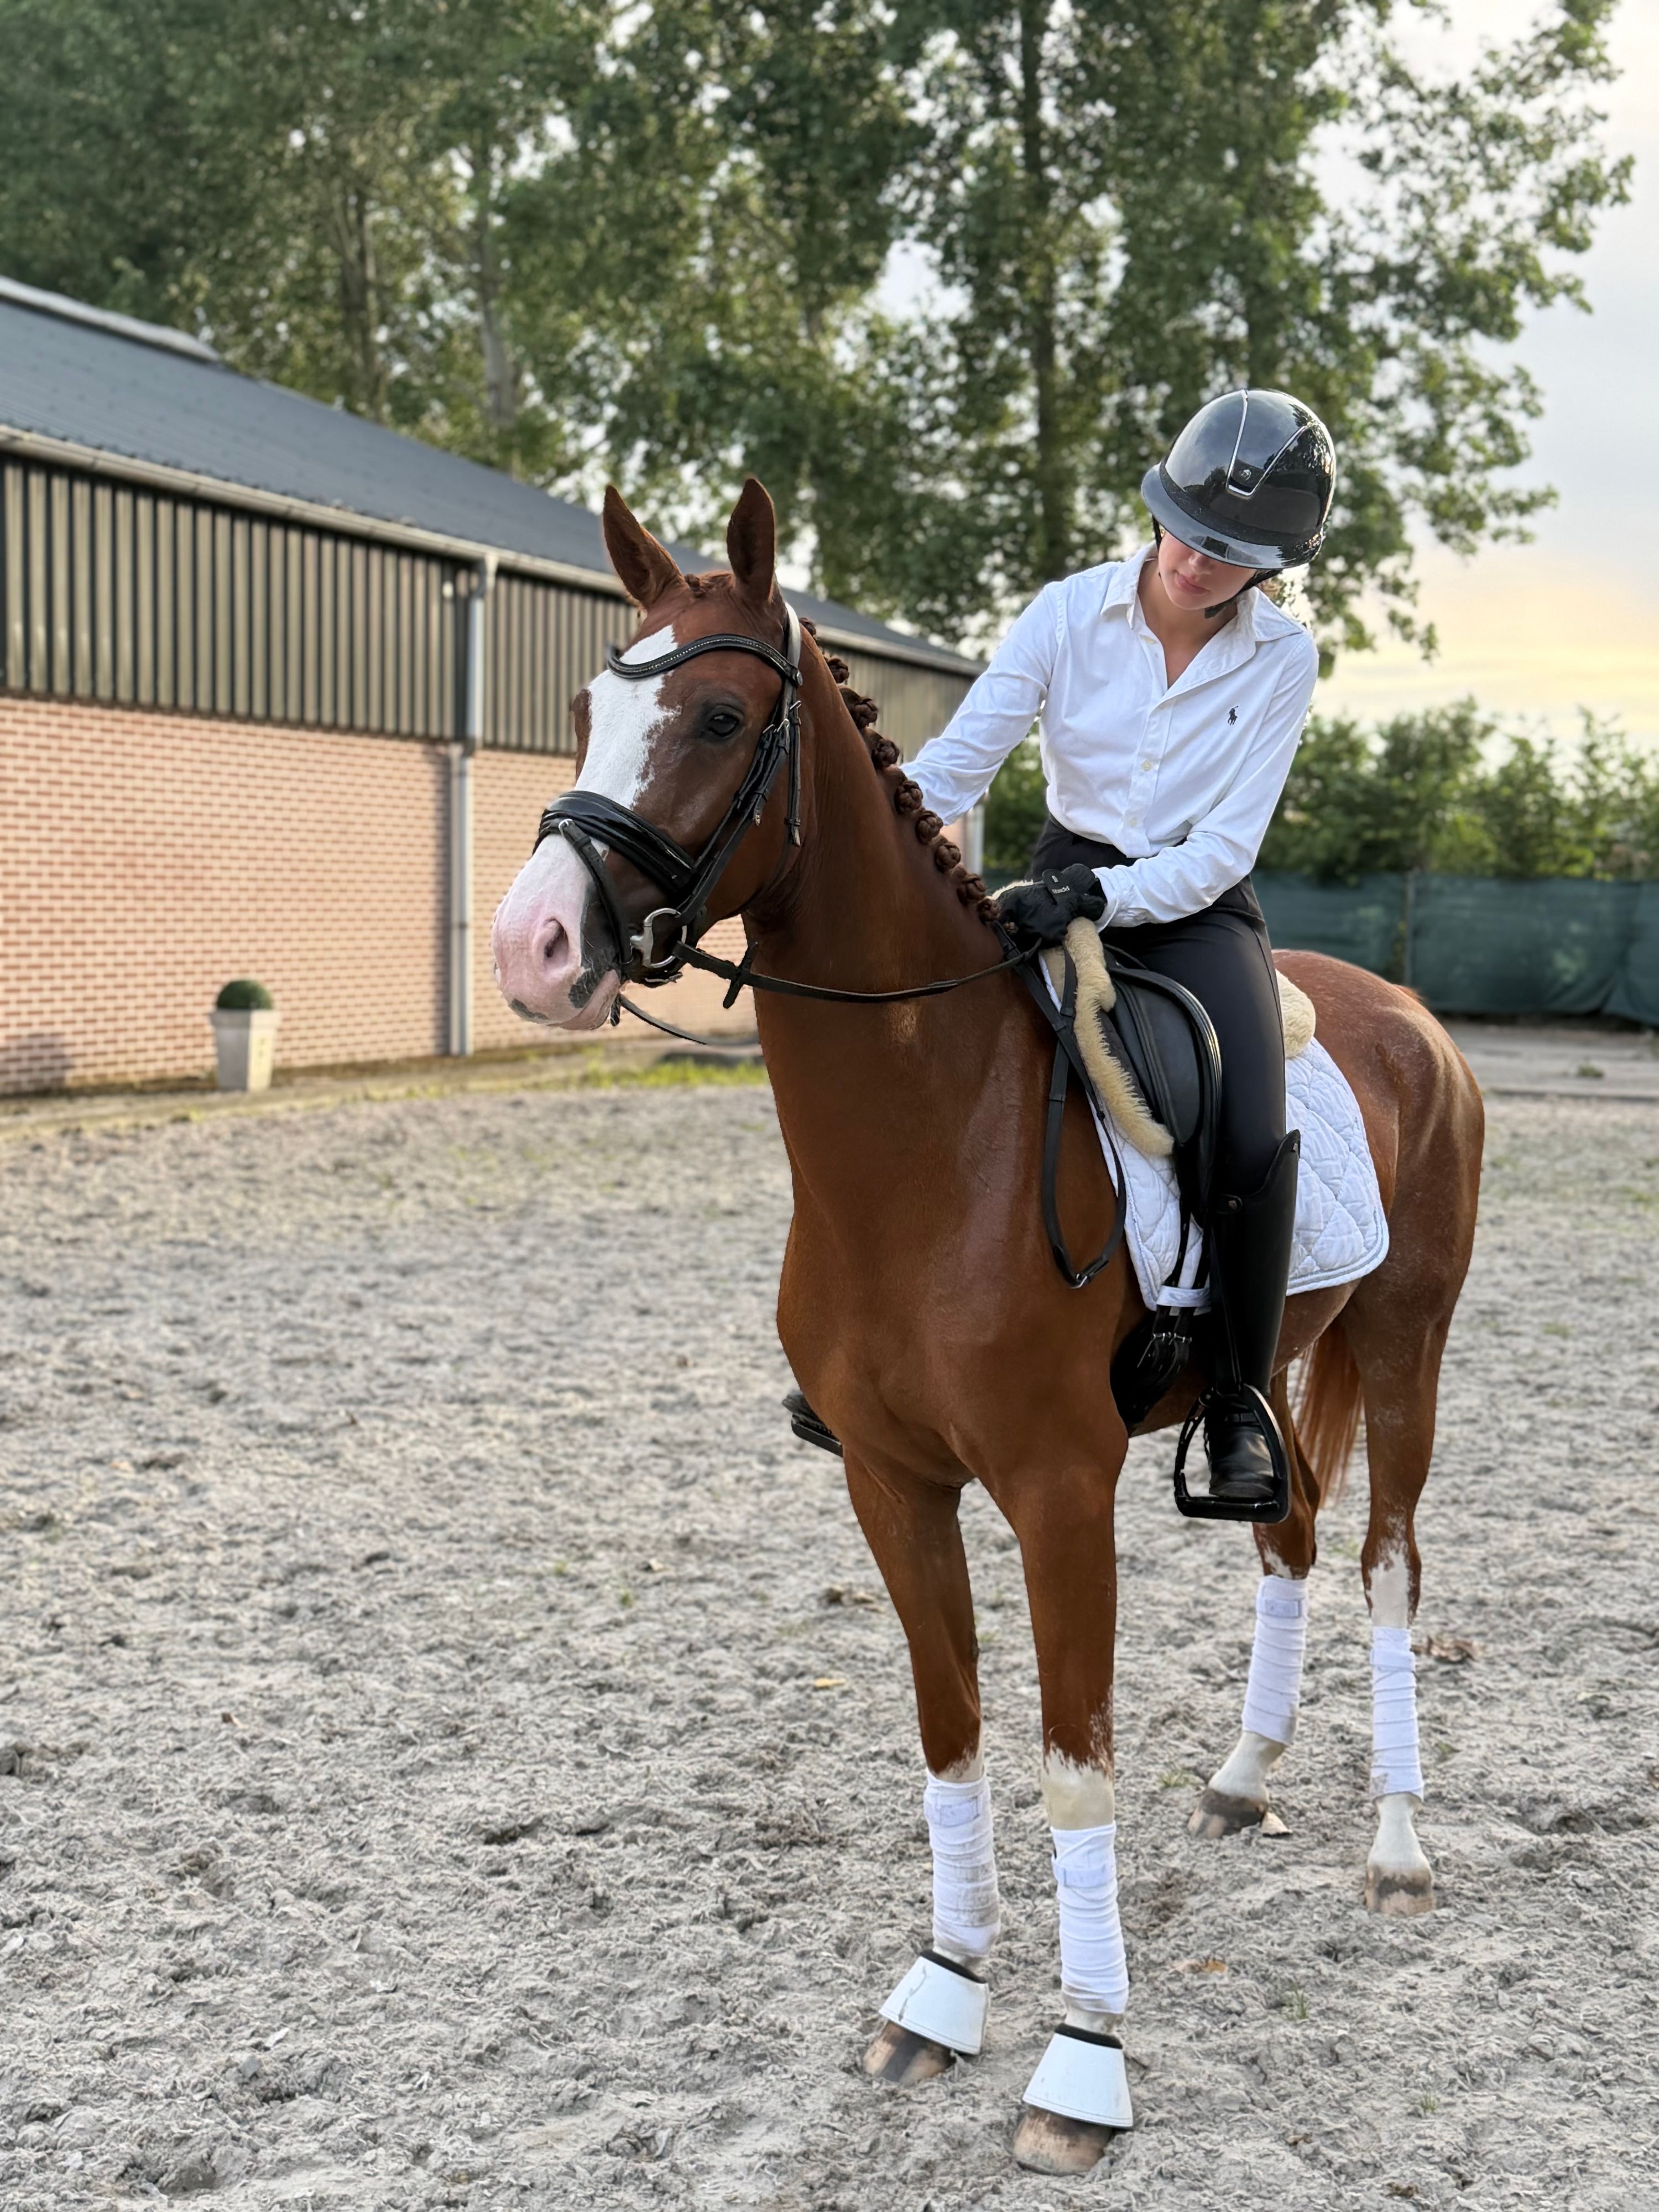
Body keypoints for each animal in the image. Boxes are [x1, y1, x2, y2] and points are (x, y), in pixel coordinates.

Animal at [490, 478, 1485, 2175]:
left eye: (719, 715)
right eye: (581, 711)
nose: (533, 948)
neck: (929, 1139)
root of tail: (1417, 1021)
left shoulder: (1057, 1493)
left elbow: (1072, 1775)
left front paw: (1081, 2064)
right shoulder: (890, 1482)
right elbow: (950, 1735)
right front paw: (943, 1991)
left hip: (1409, 1348)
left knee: (1388, 1568)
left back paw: (1400, 1850)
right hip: (1272, 1372)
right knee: (1287, 1533)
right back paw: (1243, 1780)